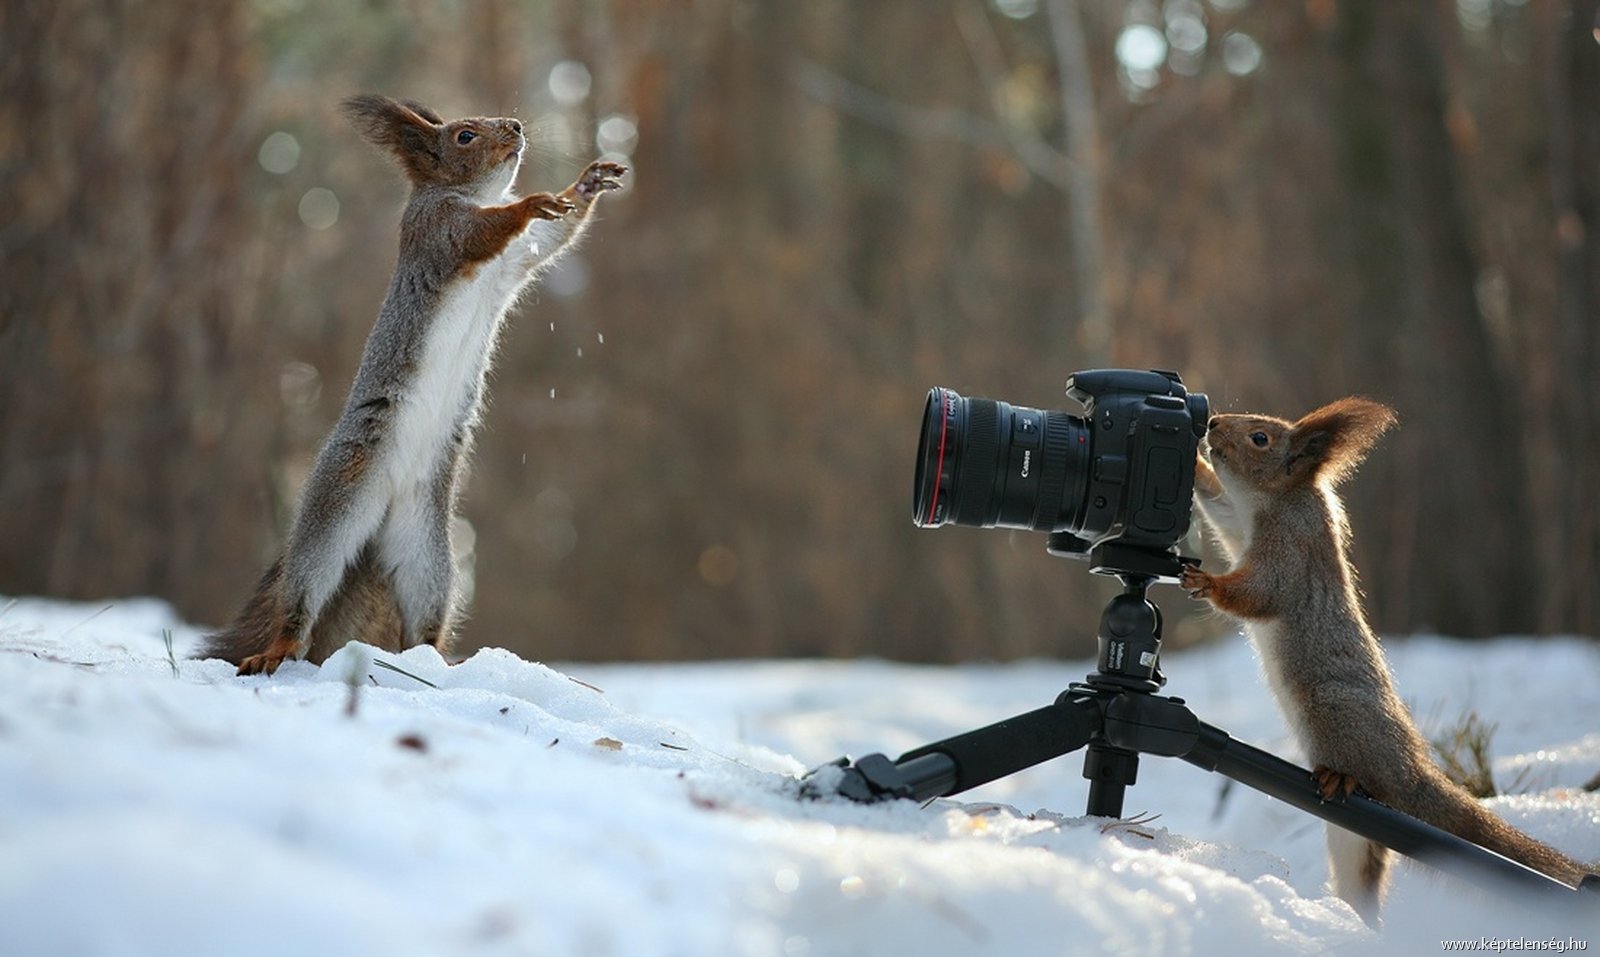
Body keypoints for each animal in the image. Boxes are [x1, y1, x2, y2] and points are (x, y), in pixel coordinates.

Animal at [198, 92, 624, 675]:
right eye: (464, 136)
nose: (515, 126)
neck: (468, 195)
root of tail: (382, 520)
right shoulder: (435, 232)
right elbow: (479, 232)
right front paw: (530, 203)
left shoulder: (516, 260)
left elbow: (553, 237)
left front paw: (585, 185)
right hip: (339, 504)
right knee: (304, 589)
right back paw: (280, 648)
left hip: (429, 555)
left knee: (422, 619)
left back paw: (436, 665)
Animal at [1184, 395, 1593, 921]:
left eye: (1261, 438)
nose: (1212, 423)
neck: (1277, 500)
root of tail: (1410, 772)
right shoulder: (1240, 524)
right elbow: (1220, 509)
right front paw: (1196, 468)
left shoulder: (1290, 552)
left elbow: (1258, 593)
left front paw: (1207, 583)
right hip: (1351, 838)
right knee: (1362, 874)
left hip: (1334, 713)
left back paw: (1340, 779)